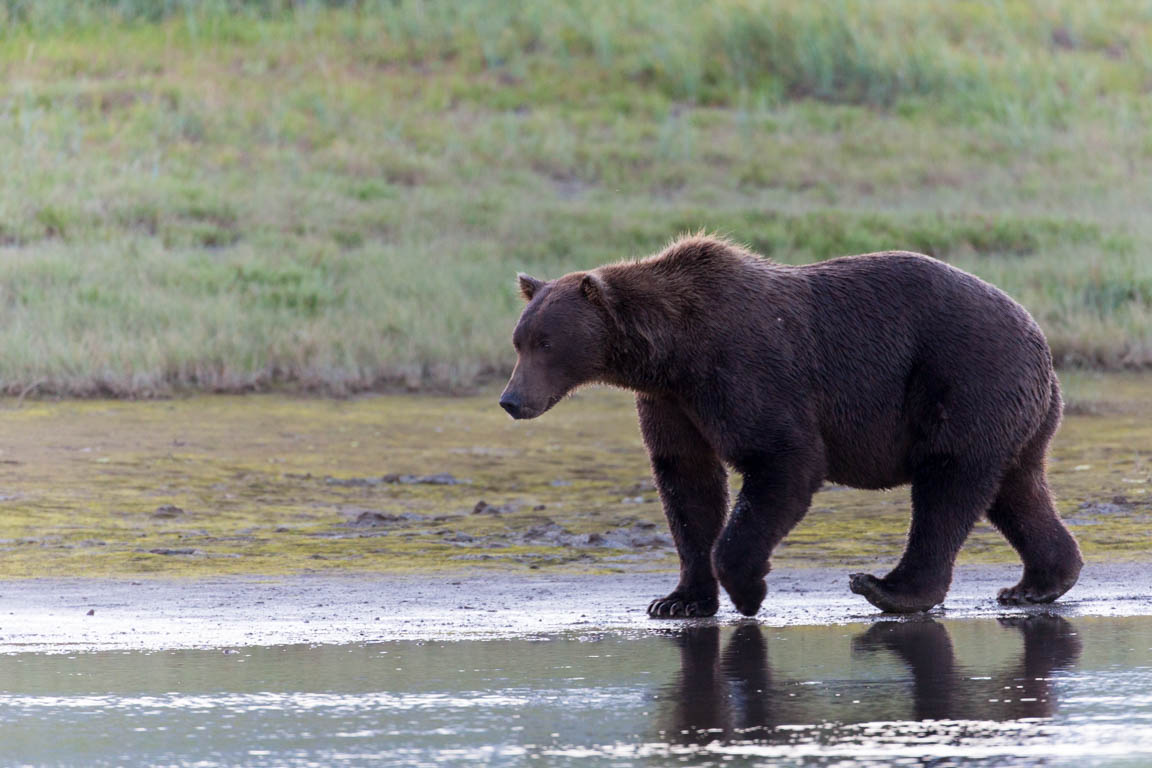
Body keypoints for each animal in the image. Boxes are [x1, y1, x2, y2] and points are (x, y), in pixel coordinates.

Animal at [499, 236, 1082, 617]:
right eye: (519, 340)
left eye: (546, 342)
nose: (511, 400)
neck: (673, 352)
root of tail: (1038, 337)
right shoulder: (672, 402)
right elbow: (687, 485)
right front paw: (677, 600)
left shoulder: (746, 371)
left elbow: (783, 462)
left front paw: (748, 590)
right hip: (1014, 412)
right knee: (1014, 487)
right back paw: (1038, 582)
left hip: (964, 379)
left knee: (947, 486)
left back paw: (888, 588)